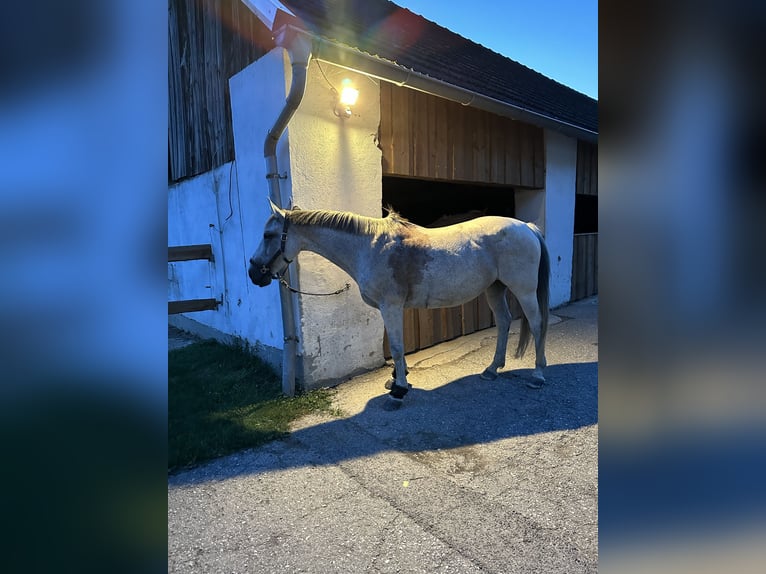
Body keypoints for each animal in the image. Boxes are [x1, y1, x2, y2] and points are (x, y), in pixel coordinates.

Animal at [252, 200, 552, 408]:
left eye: (268, 235)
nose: (254, 273)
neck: (368, 248)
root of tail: (527, 227)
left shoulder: (391, 306)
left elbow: (396, 346)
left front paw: (399, 390)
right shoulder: (389, 309)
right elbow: (396, 344)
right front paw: (397, 378)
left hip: (524, 290)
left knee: (537, 325)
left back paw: (537, 375)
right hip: (494, 288)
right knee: (503, 322)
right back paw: (492, 369)